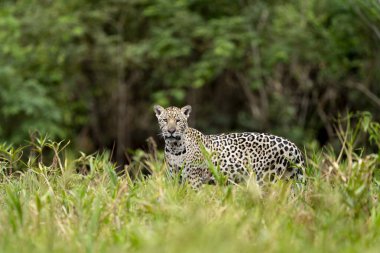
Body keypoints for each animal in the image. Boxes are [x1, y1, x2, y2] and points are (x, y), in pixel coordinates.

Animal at [153, 104, 304, 189]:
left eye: (178, 121)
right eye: (165, 120)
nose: (171, 131)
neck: (175, 148)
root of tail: (291, 145)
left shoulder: (194, 178)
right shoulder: (175, 177)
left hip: (266, 178)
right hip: (289, 178)